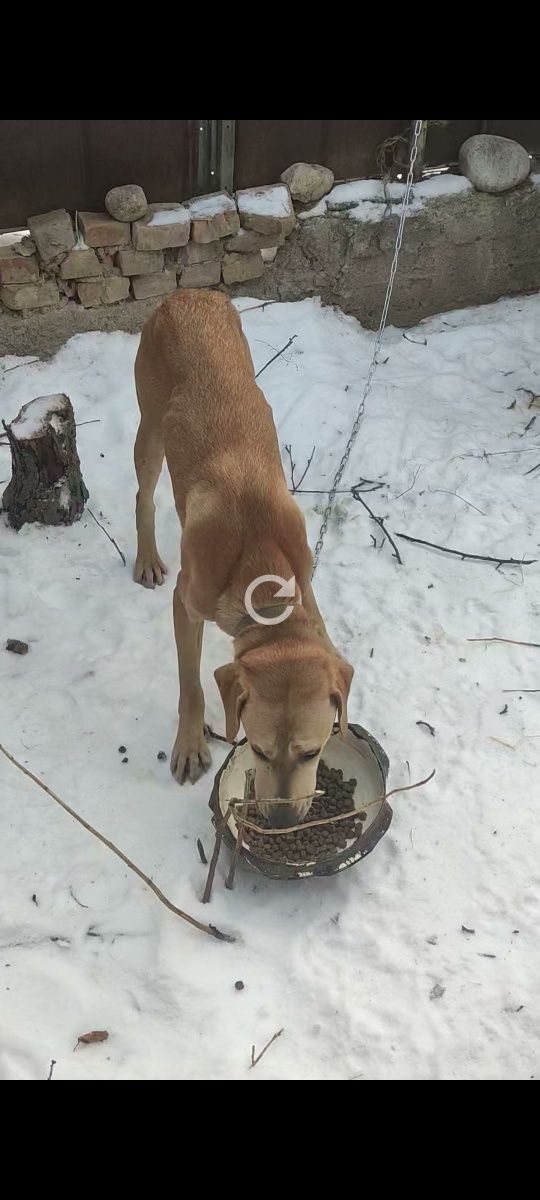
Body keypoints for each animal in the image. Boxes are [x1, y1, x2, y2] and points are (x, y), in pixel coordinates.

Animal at [133, 290, 355, 825]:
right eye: (255, 749)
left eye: (313, 752)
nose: (281, 821)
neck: (260, 565)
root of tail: (185, 294)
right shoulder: (186, 602)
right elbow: (191, 685)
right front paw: (190, 743)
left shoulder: (305, 583)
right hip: (150, 428)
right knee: (144, 495)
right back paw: (146, 554)